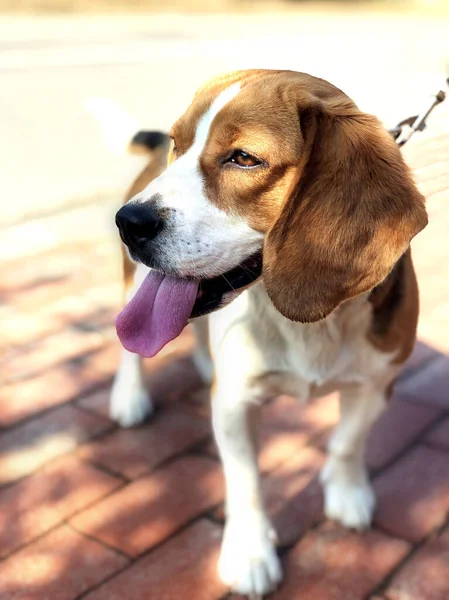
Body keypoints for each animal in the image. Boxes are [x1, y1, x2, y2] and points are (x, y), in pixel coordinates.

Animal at [110, 69, 426, 596]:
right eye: (179, 145)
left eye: (244, 158)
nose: (128, 222)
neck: (311, 325)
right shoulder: (236, 401)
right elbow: (247, 482)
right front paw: (249, 552)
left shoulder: (377, 385)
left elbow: (347, 442)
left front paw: (346, 493)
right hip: (136, 283)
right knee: (131, 351)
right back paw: (128, 397)